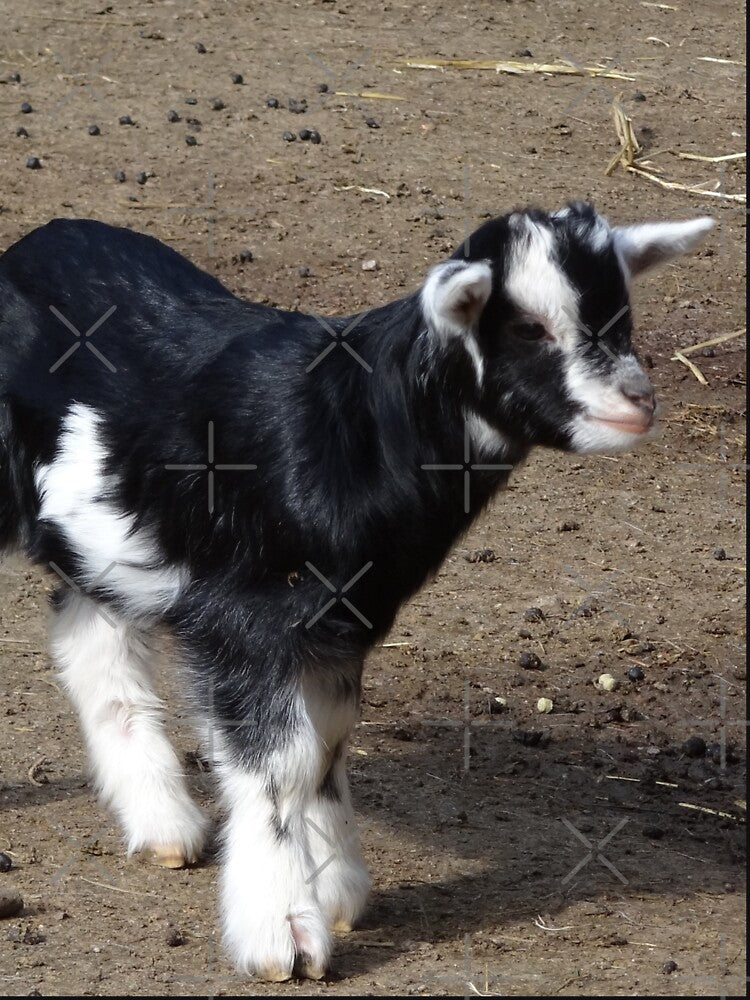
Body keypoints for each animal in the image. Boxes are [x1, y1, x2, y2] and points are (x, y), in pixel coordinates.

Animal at [0, 203, 712, 980]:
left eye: (623, 316)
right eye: (529, 327)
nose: (639, 401)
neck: (356, 430)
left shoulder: (343, 619)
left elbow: (327, 746)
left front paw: (335, 887)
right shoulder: (246, 618)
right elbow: (280, 765)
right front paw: (283, 930)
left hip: (98, 538)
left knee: (89, 637)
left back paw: (163, 823)